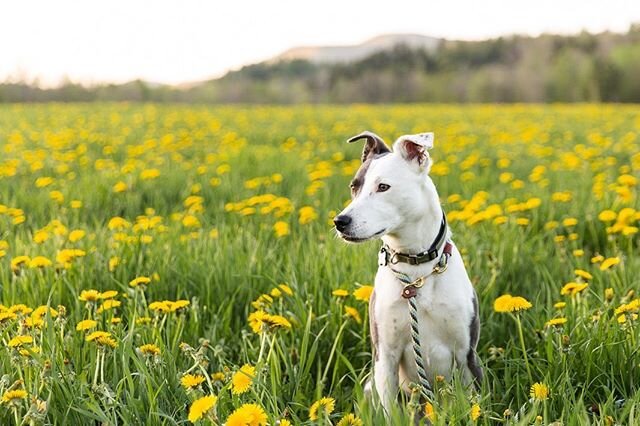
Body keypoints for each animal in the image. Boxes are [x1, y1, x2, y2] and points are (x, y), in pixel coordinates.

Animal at [336, 131, 480, 414]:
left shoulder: (466, 354)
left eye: (383, 187)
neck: (416, 268)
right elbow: (389, 412)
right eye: (353, 187)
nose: (340, 221)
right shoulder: (386, 357)